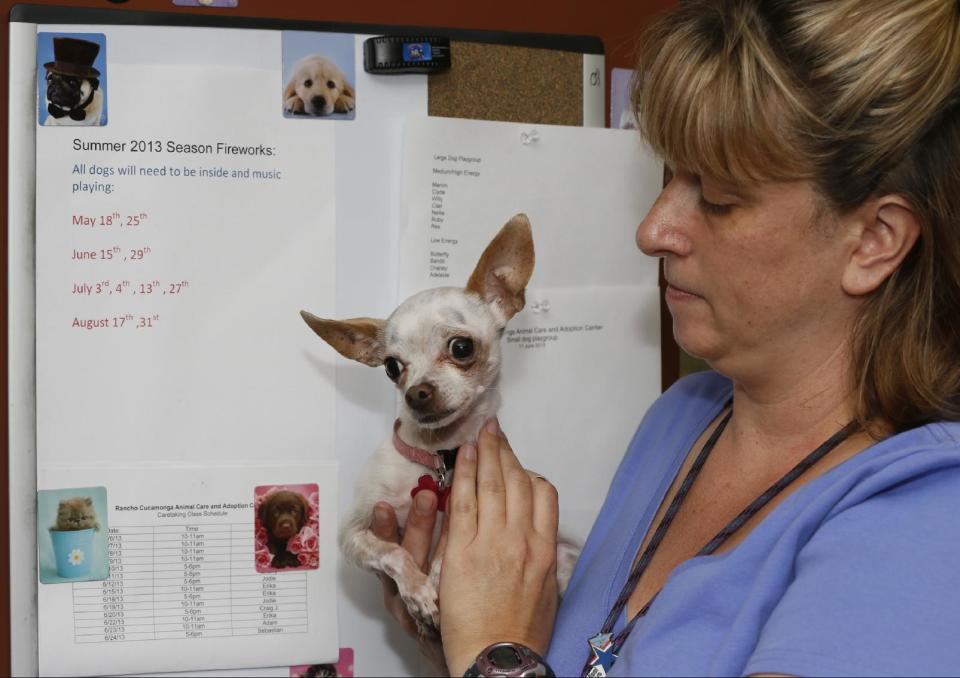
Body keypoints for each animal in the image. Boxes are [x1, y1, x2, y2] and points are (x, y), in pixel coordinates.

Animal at [300, 215, 576, 628]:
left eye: (461, 347)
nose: (416, 393)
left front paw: (434, 578)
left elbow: (447, 555)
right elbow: (393, 553)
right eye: (391, 367)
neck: (436, 456)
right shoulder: (353, 533)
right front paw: (417, 592)